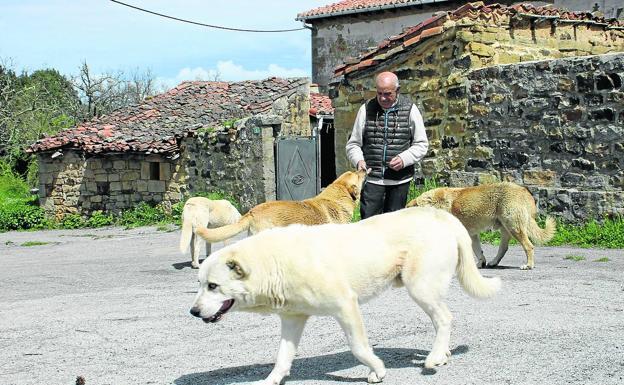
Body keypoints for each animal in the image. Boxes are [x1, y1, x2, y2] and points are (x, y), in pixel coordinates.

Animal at [190, 206, 502, 382]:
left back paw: (434, 358)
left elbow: (359, 347)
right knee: (441, 319)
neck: (274, 263)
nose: (192, 312)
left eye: (213, 286)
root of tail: (442, 216)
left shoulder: (345, 306)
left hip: (419, 286)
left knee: (445, 318)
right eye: (200, 283)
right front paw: (271, 380)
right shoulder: (292, 319)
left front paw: (377, 370)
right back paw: (443, 353)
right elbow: (282, 357)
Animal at [410, 181, 556, 268]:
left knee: (529, 246)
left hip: (514, 228)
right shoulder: (472, 235)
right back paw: (493, 262)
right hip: (506, 229)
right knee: (503, 248)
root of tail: (524, 191)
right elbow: (478, 251)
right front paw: (481, 263)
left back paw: (528, 265)